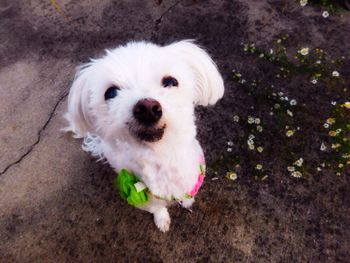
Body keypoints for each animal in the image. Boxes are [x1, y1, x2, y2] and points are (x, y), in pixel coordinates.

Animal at [65, 40, 224, 232]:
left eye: (170, 81)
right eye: (111, 93)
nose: (147, 108)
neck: (161, 158)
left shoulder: (193, 173)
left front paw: (187, 201)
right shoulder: (144, 196)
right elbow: (157, 208)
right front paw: (162, 219)